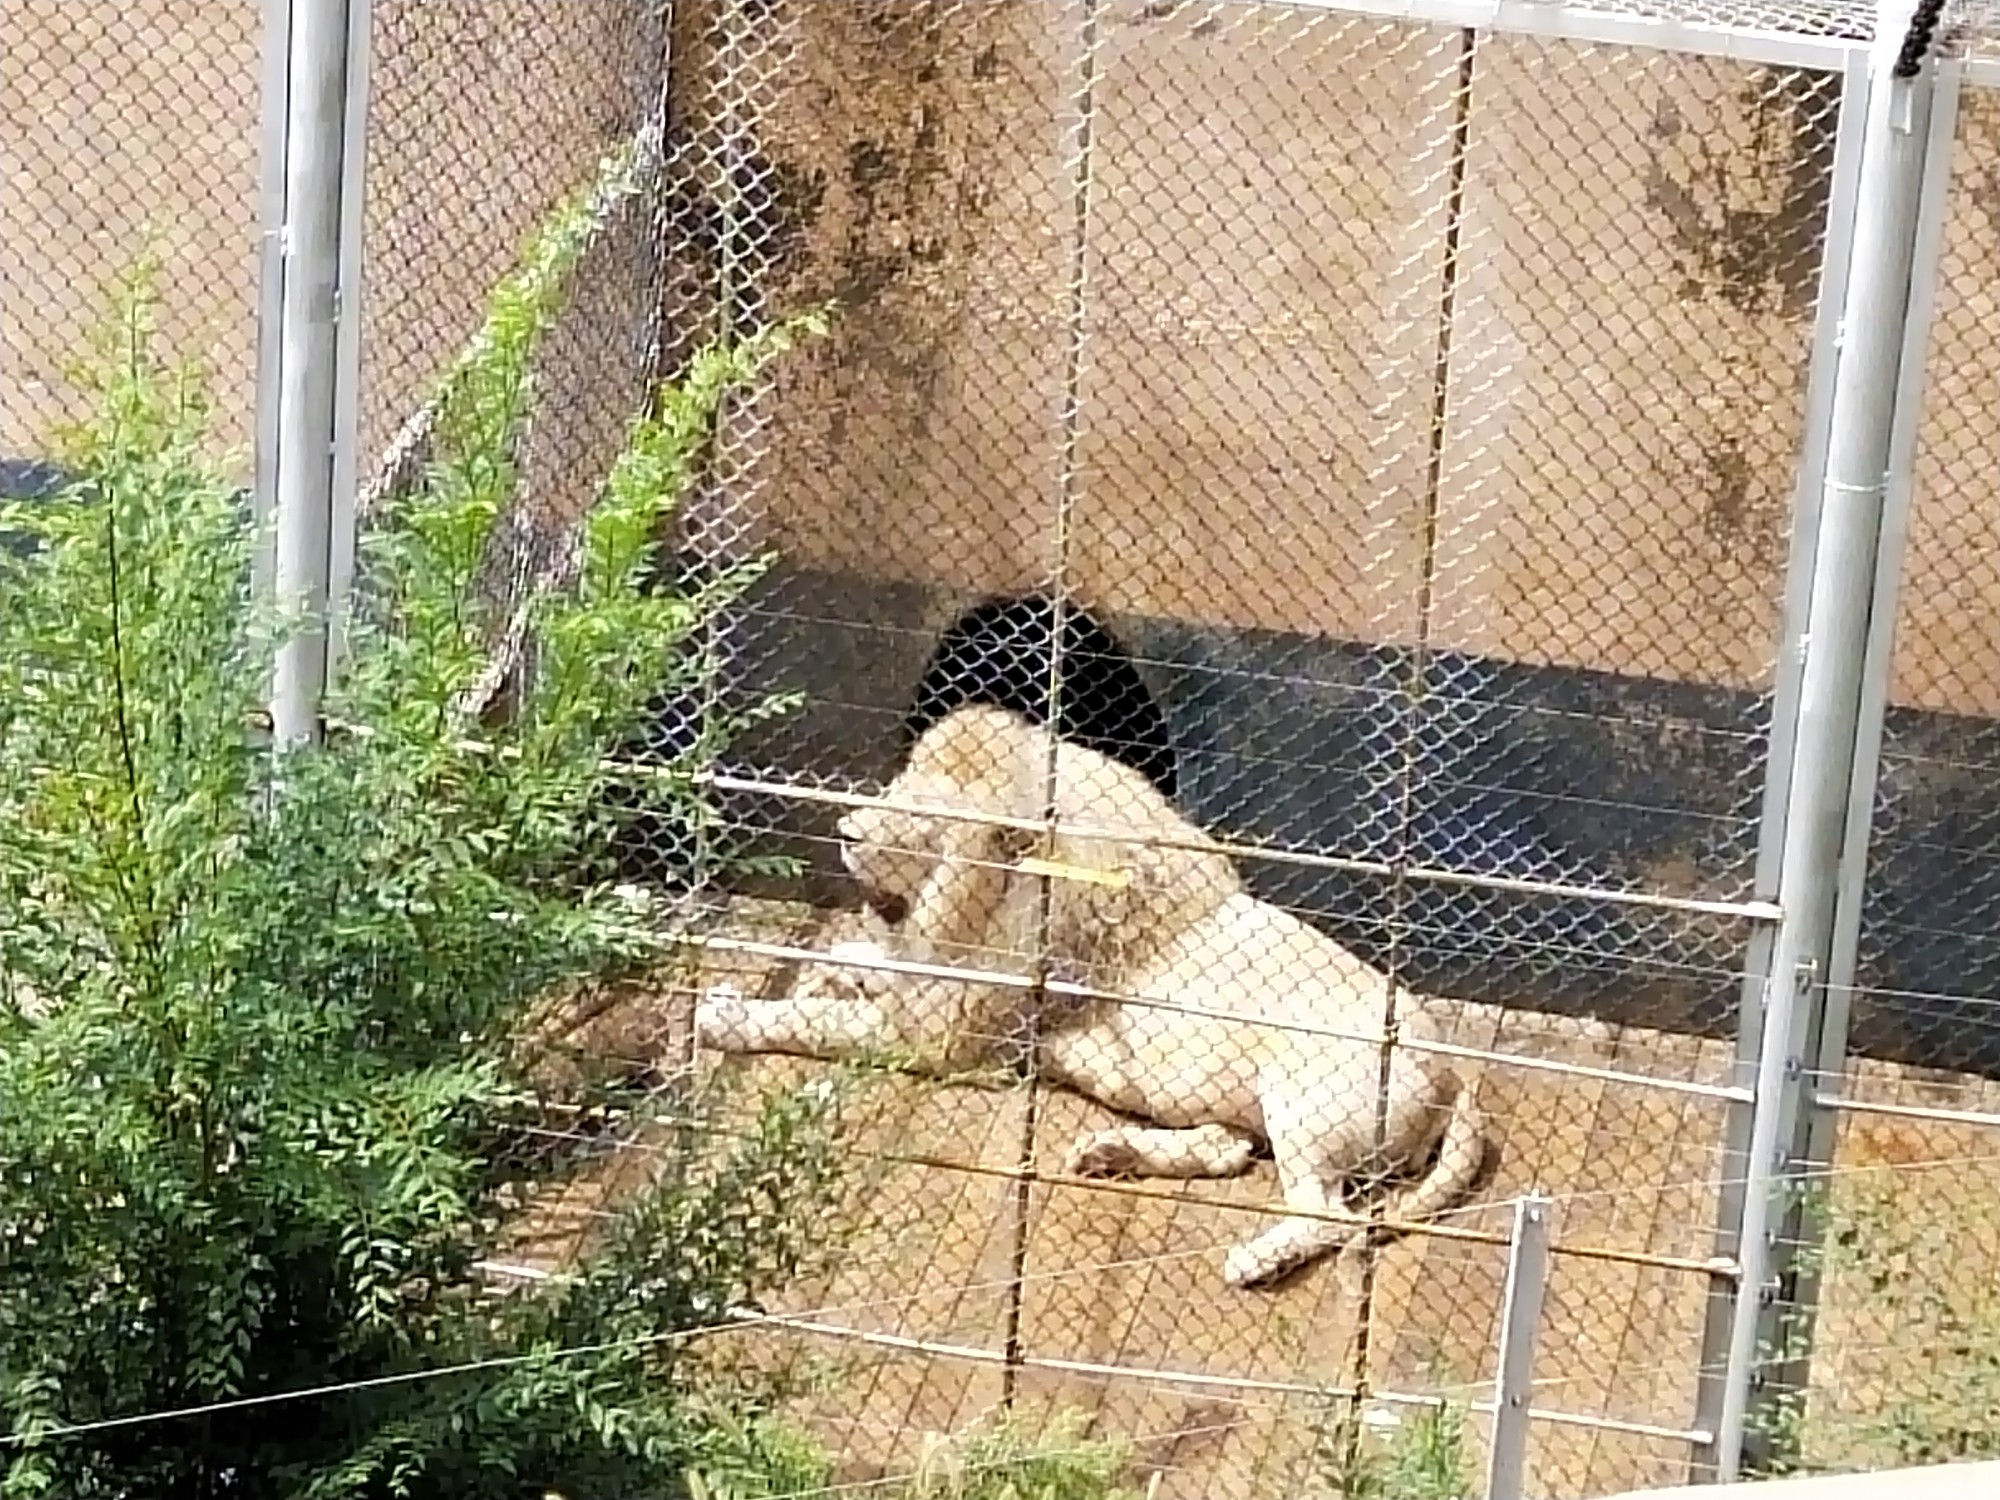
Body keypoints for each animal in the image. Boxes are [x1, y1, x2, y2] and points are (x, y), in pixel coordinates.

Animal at [696, 708, 1496, 1296]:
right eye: (902, 782)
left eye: (923, 818)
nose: (844, 830)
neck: (989, 898)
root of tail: (1456, 1075)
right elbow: (865, 968)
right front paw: (834, 967)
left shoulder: (950, 1036)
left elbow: (821, 1022)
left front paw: (731, 1015)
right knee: (1228, 1151)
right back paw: (1113, 1152)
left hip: (1305, 1096)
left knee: (1327, 1214)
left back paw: (1254, 1261)